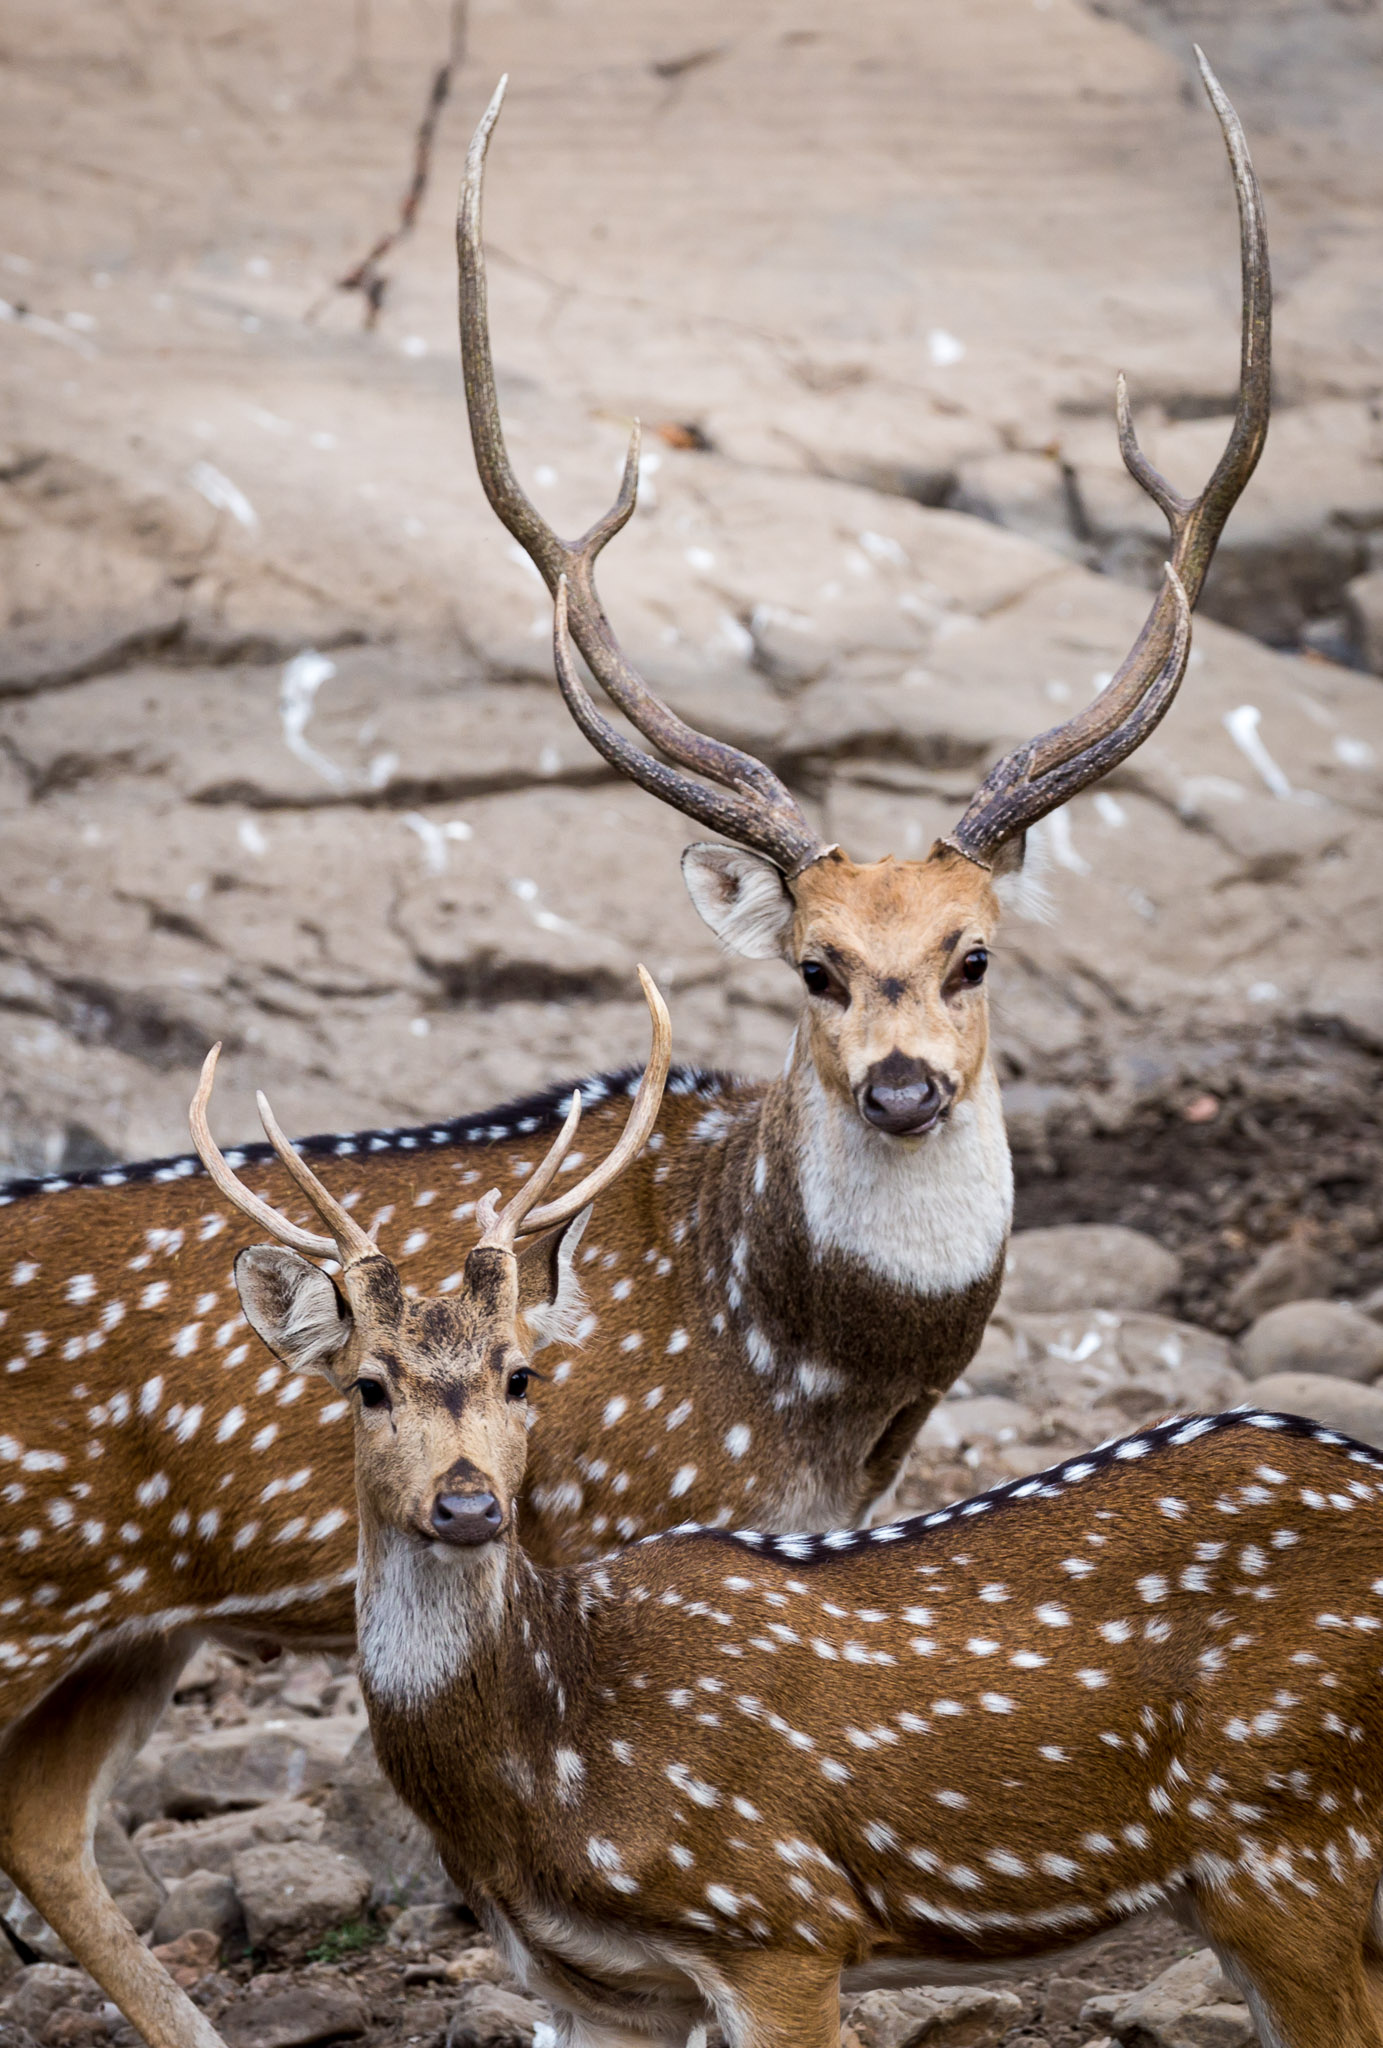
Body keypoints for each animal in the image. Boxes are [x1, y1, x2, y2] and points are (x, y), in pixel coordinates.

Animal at [0, 48, 1262, 2048]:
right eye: (814, 966)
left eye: (969, 952)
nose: (903, 1082)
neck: (813, 1378)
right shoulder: (622, 1526)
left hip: (129, 1621)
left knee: (44, 1827)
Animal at [197, 1032, 1383, 2048]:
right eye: (367, 1385)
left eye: (522, 1374)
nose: (467, 1503)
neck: (547, 1766)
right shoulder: (596, 1983)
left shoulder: (778, 1919)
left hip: (1294, 1838)